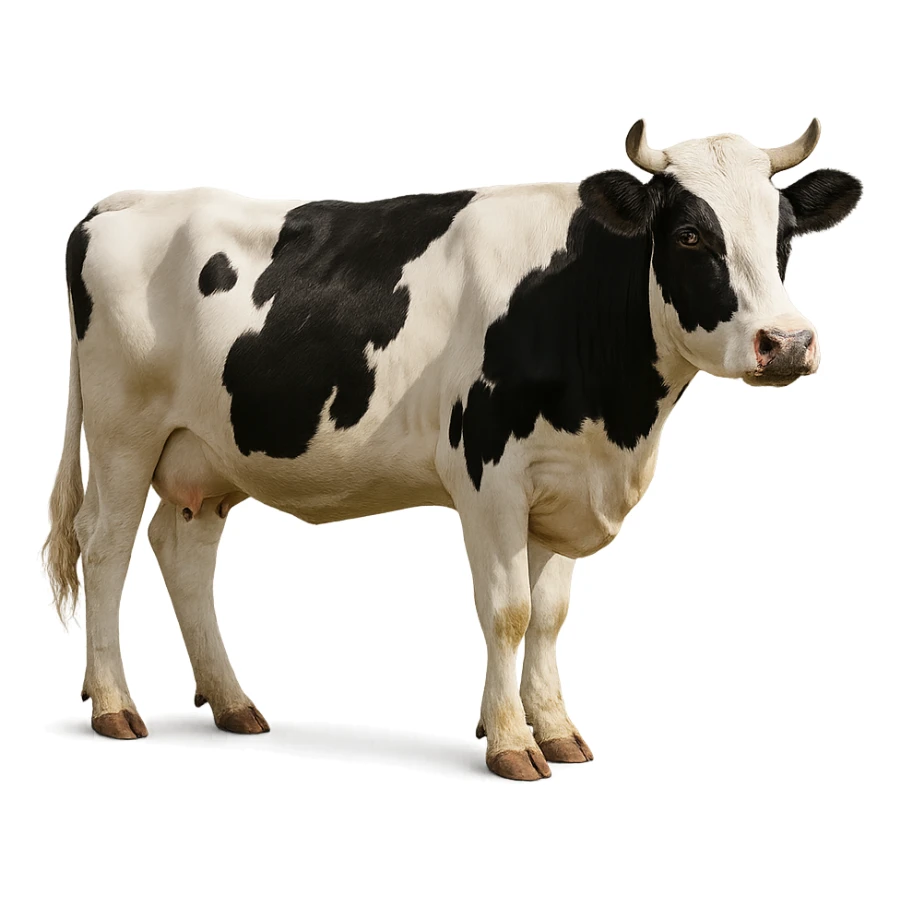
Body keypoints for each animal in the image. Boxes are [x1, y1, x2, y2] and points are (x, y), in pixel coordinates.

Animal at [44, 123, 861, 781]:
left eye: (784, 234)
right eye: (690, 235)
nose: (788, 342)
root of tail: (123, 201)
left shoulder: (563, 482)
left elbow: (551, 613)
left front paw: (555, 729)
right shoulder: (490, 475)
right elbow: (508, 610)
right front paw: (510, 743)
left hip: (206, 455)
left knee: (182, 550)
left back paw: (232, 701)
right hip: (122, 431)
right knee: (105, 544)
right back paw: (114, 706)